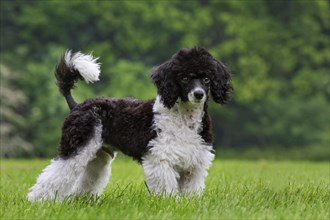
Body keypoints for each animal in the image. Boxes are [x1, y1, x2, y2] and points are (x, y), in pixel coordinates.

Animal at [27, 47, 232, 202]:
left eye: (207, 79)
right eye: (184, 78)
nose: (198, 94)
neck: (183, 119)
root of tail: (76, 105)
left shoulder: (194, 164)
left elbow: (190, 191)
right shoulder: (160, 160)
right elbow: (166, 189)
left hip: (97, 156)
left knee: (86, 179)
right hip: (76, 147)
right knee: (55, 175)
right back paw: (38, 201)